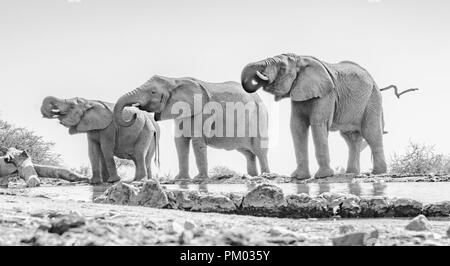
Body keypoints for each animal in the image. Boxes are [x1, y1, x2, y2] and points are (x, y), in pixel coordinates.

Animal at [115, 76, 270, 182]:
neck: (174, 80)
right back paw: (253, 176)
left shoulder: (201, 112)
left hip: (260, 117)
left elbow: (196, 141)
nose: (134, 112)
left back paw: (266, 176)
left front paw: (199, 179)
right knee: (248, 153)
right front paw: (180, 179)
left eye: (153, 92)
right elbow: (180, 142)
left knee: (259, 149)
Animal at [243, 53, 386, 181]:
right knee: (351, 138)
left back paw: (377, 173)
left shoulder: (327, 94)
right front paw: (299, 177)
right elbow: (297, 126)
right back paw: (351, 173)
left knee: (371, 132)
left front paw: (323, 176)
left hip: (372, 99)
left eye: (282, 67)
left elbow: (318, 124)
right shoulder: (299, 93)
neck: (301, 59)